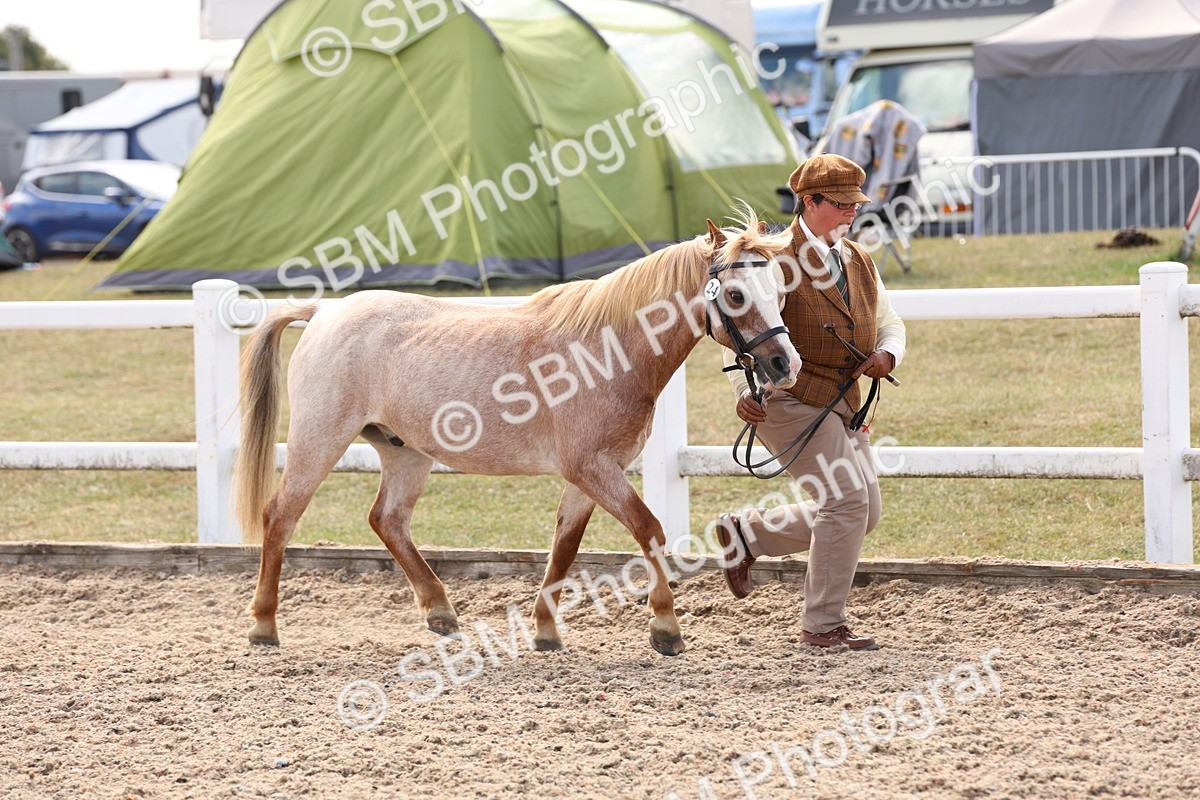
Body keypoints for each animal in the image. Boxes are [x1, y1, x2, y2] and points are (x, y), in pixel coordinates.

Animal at [234, 212, 801, 656]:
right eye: (735, 294)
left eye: (779, 292)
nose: (785, 364)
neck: (606, 351)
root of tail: (325, 311)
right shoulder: (594, 468)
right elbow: (650, 530)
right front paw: (665, 627)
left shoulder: (589, 475)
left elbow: (565, 547)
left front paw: (546, 630)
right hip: (319, 441)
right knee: (280, 516)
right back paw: (263, 624)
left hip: (406, 453)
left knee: (387, 520)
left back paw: (440, 611)